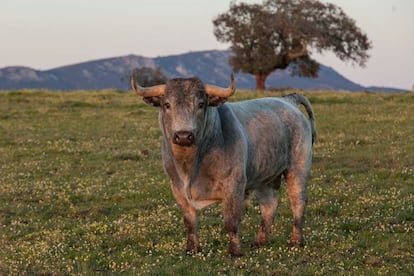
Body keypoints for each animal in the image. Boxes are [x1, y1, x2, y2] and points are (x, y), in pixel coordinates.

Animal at [131, 71, 316, 256]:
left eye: (200, 104)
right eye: (167, 104)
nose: (183, 135)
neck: (191, 165)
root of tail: (288, 100)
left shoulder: (234, 184)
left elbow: (231, 221)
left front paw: (235, 251)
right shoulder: (177, 187)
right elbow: (189, 221)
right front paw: (192, 249)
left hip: (297, 169)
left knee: (298, 202)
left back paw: (295, 241)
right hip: (264, 176)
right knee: (269, 204)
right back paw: (260, 241)